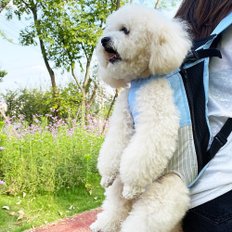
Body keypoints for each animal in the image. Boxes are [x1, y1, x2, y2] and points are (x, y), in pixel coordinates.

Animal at [90, 4, 192, 232]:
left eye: (125, 30)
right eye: (108, 30)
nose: (104, 40)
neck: (141, 80)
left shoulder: (157, 116)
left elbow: (144, 152)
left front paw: (132, 186)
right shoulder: (123, 118)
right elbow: (114, 145)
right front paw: (106, 175)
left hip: (163, 195)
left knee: (142, 218)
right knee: (117, 207)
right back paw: (103, 224)